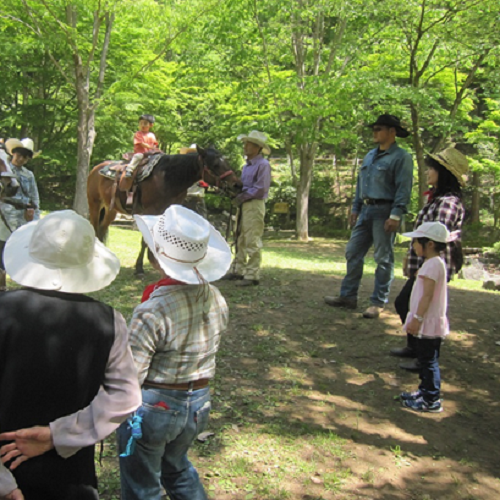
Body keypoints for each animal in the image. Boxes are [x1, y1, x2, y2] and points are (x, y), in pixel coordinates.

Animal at [86, 146, 238, 276]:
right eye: (215, 165)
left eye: (226, 162)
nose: (237, 184)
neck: (168, 178)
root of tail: (96, 169)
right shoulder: (149, 211)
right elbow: (146, 239)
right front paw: (141, 268)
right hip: (94, 205)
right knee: (94, 227)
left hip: (110, 210)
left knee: (102, 228)